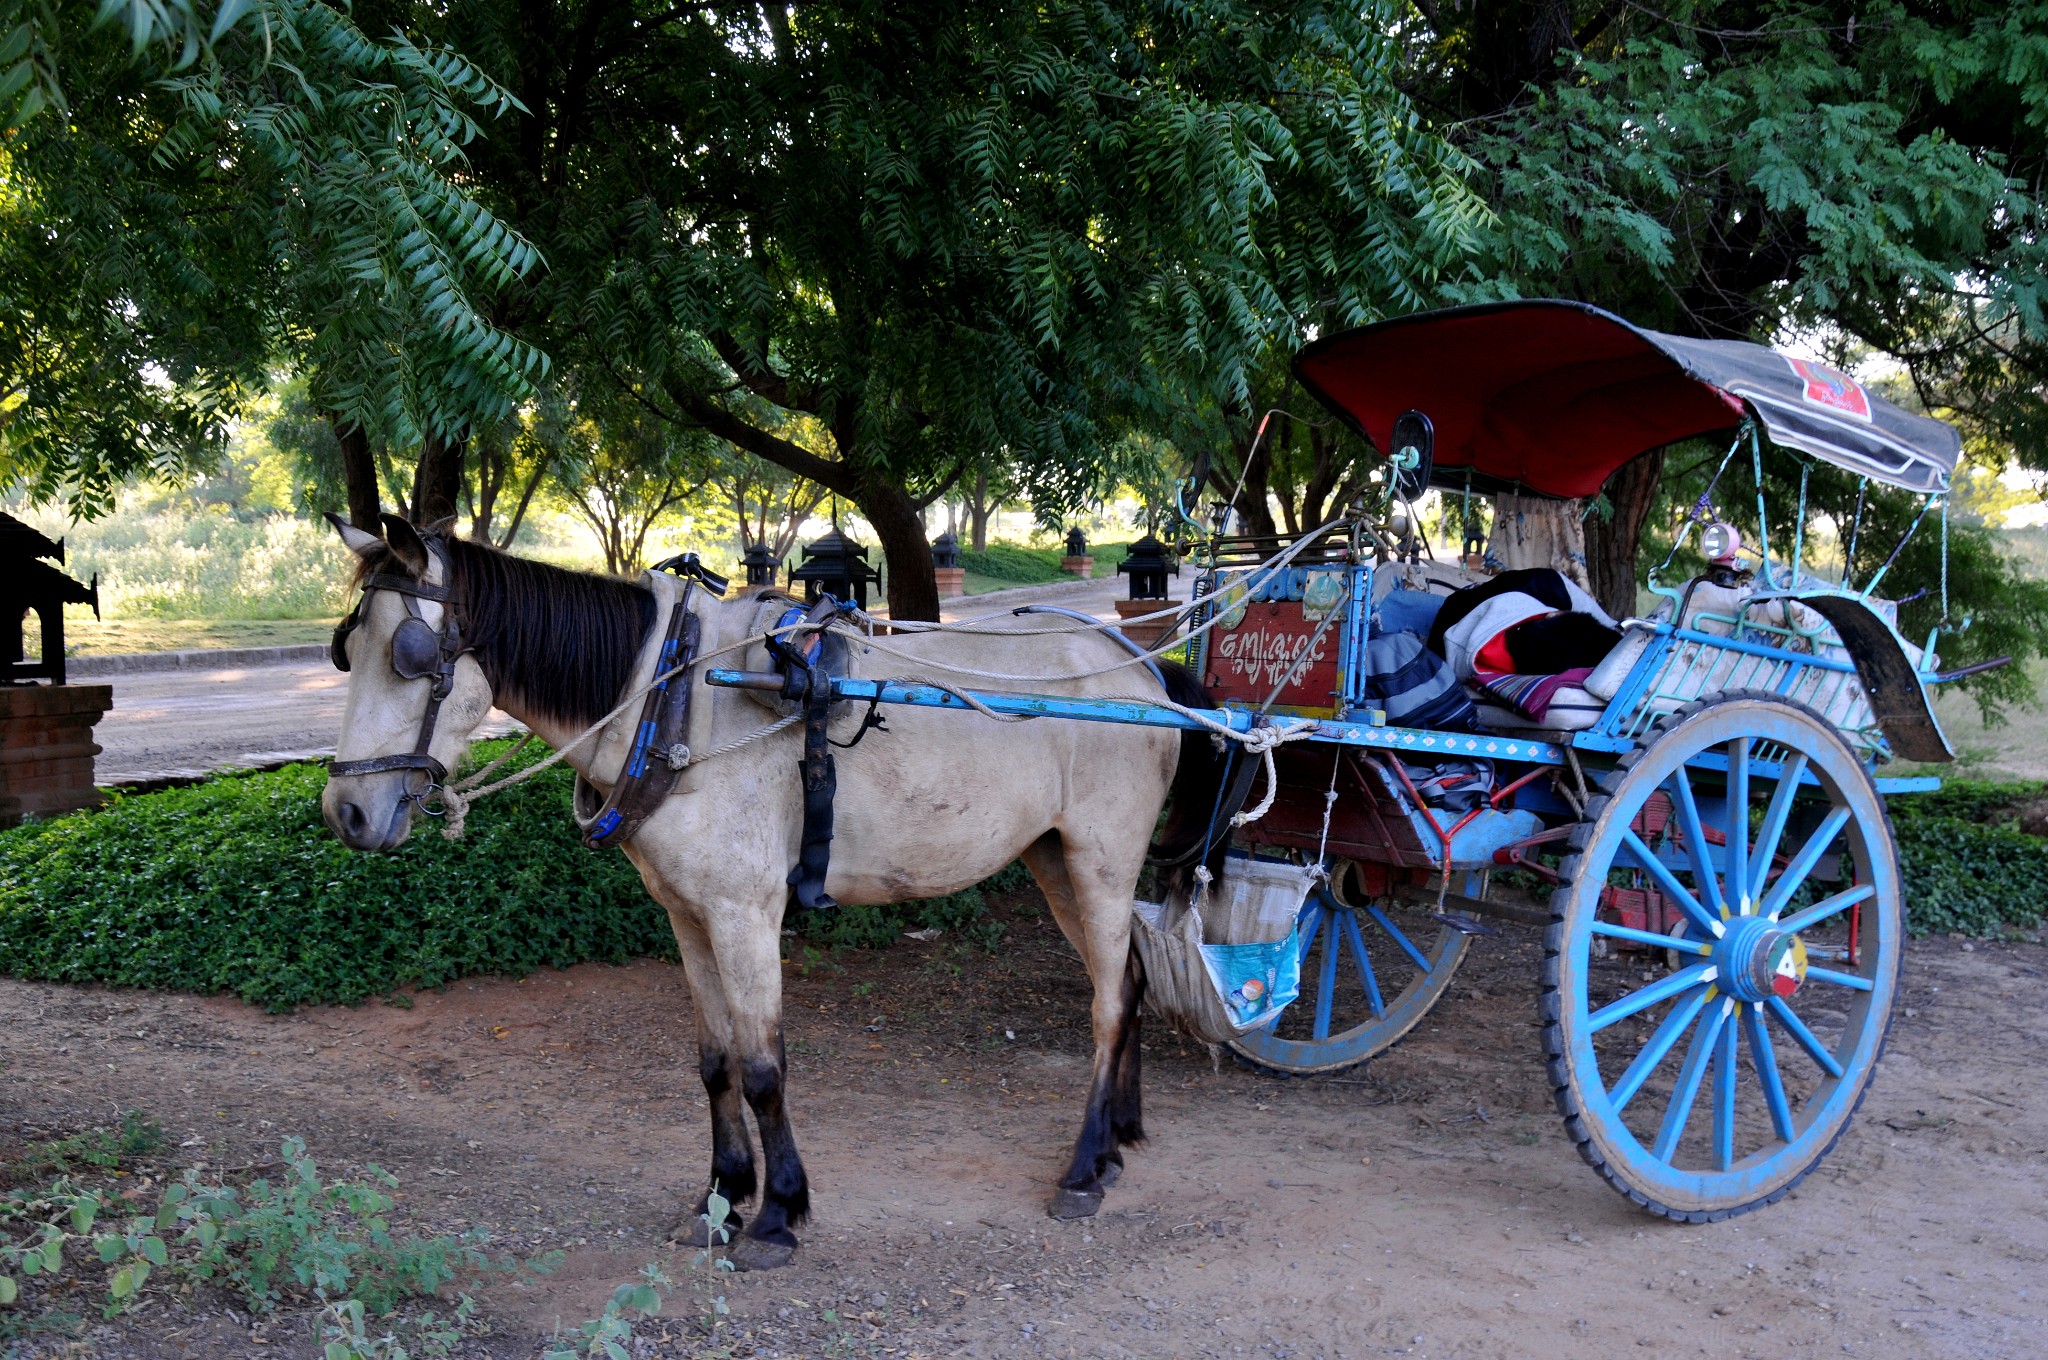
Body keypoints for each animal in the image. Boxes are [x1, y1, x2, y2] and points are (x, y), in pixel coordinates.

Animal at [315, 516, 1212, 1269]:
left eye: (410, 654)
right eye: (346, 649)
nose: (347, 812)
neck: (671, 702)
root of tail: (1144, 671)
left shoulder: (744, 912)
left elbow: (762, 1066)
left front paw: (778, 1212)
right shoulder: (686, 913)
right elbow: (715, 1062)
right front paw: (721, 1196)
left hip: (1102, 858)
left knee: (1107, 1005)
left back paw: (1084, 1168)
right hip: (1051, 858)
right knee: (1130, 981)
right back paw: (1118, 1138)